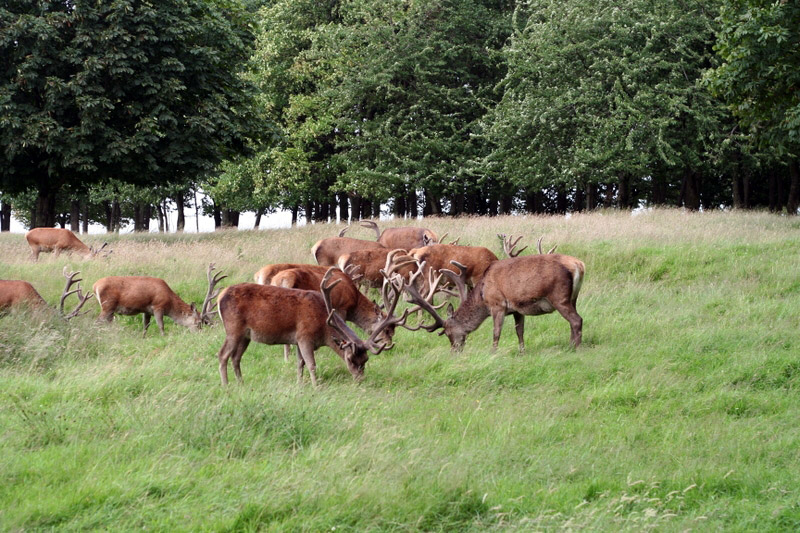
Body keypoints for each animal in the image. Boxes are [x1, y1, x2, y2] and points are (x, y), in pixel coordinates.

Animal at [93, 264, 225, 336]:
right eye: (198, 323)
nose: (200, 333)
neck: (170, 301)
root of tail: (95, 286)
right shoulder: (158, 306)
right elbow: (161, 326)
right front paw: (163, 337)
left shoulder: (146, 310)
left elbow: (145, 326)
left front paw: (143, 338)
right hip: (107, 305)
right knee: (97, 322)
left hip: (110, 310)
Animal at [215, 267, 408, 386]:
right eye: (350, 359)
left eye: (366, 360)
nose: (360, 380)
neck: (323, 328)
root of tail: (220, 295)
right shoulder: (304, 336)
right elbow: (311, 364)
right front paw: (316, 386)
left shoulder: (297, 340)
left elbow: (300, 363)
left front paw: (300, 384)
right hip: (233, 329)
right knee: (223, 355)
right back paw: (226, 385)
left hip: (246, 335)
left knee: (236, 357)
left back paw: (241, 383)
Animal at [399, 253, 585, 353]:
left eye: (448, 333)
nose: (454, 350)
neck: (482, 295)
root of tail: (579, 265)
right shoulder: (517, 309)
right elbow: (520, 331)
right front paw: (522, 351)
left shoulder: (497, 305)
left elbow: (496, 332)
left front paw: (493, 352)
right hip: (573, 298)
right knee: (573, 321)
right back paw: (570, 346)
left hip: (559, 297)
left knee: (577, 320)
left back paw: (575, 349)